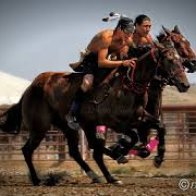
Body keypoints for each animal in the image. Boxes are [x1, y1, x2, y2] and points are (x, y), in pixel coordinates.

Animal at [0, 38, 190, 185]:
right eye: (170, 60)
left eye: (181, 60)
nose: (185, 84)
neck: (128, 85)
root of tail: (30, 88)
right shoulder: (113, 121)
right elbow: (133, 136)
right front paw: (122, 151)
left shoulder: (139, 117)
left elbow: (160, 126)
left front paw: (158, 158)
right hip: (40, 127)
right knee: (27, 150)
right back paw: (36, 179)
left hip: (71, 127)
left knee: (79, 151)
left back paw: (104, 176)